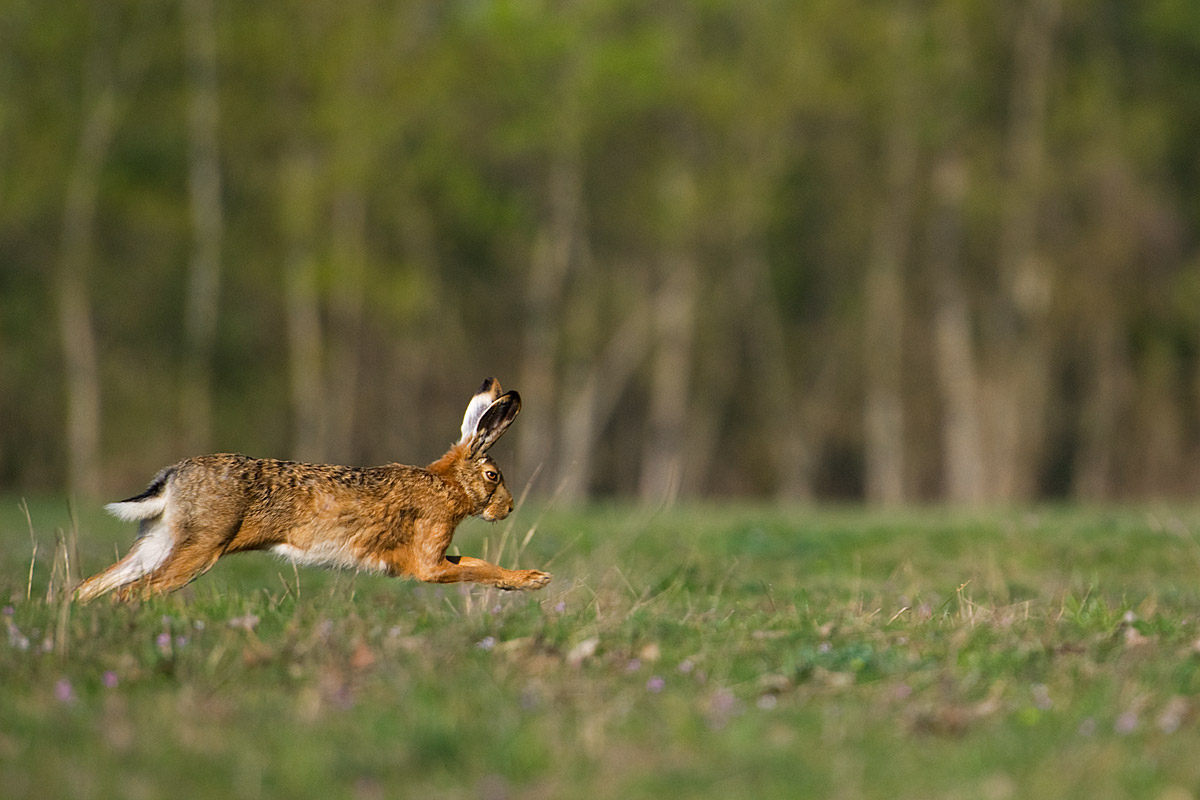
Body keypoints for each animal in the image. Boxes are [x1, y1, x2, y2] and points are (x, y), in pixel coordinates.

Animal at [75, 378, 551, 602]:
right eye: (493, 477)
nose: (508, 508)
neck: (448, 485)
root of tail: (173, 479)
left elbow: (473, 562)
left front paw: (529, 581)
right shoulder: (426, 561)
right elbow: (474, 567)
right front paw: (534, 580)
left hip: (160, 540)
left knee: (93, 584)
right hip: (200, 547)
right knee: (132, 592)